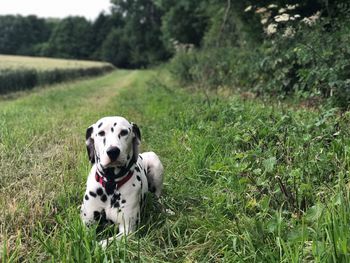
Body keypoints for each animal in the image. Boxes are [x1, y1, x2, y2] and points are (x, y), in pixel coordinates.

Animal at [81, 116, 164, 246]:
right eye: (101, 133)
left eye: (124, 132)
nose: (113, 151)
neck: (110, 184)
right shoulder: (88, 224)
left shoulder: (127, 230)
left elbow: (102, 244)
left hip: (155, 162)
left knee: (158, 196)